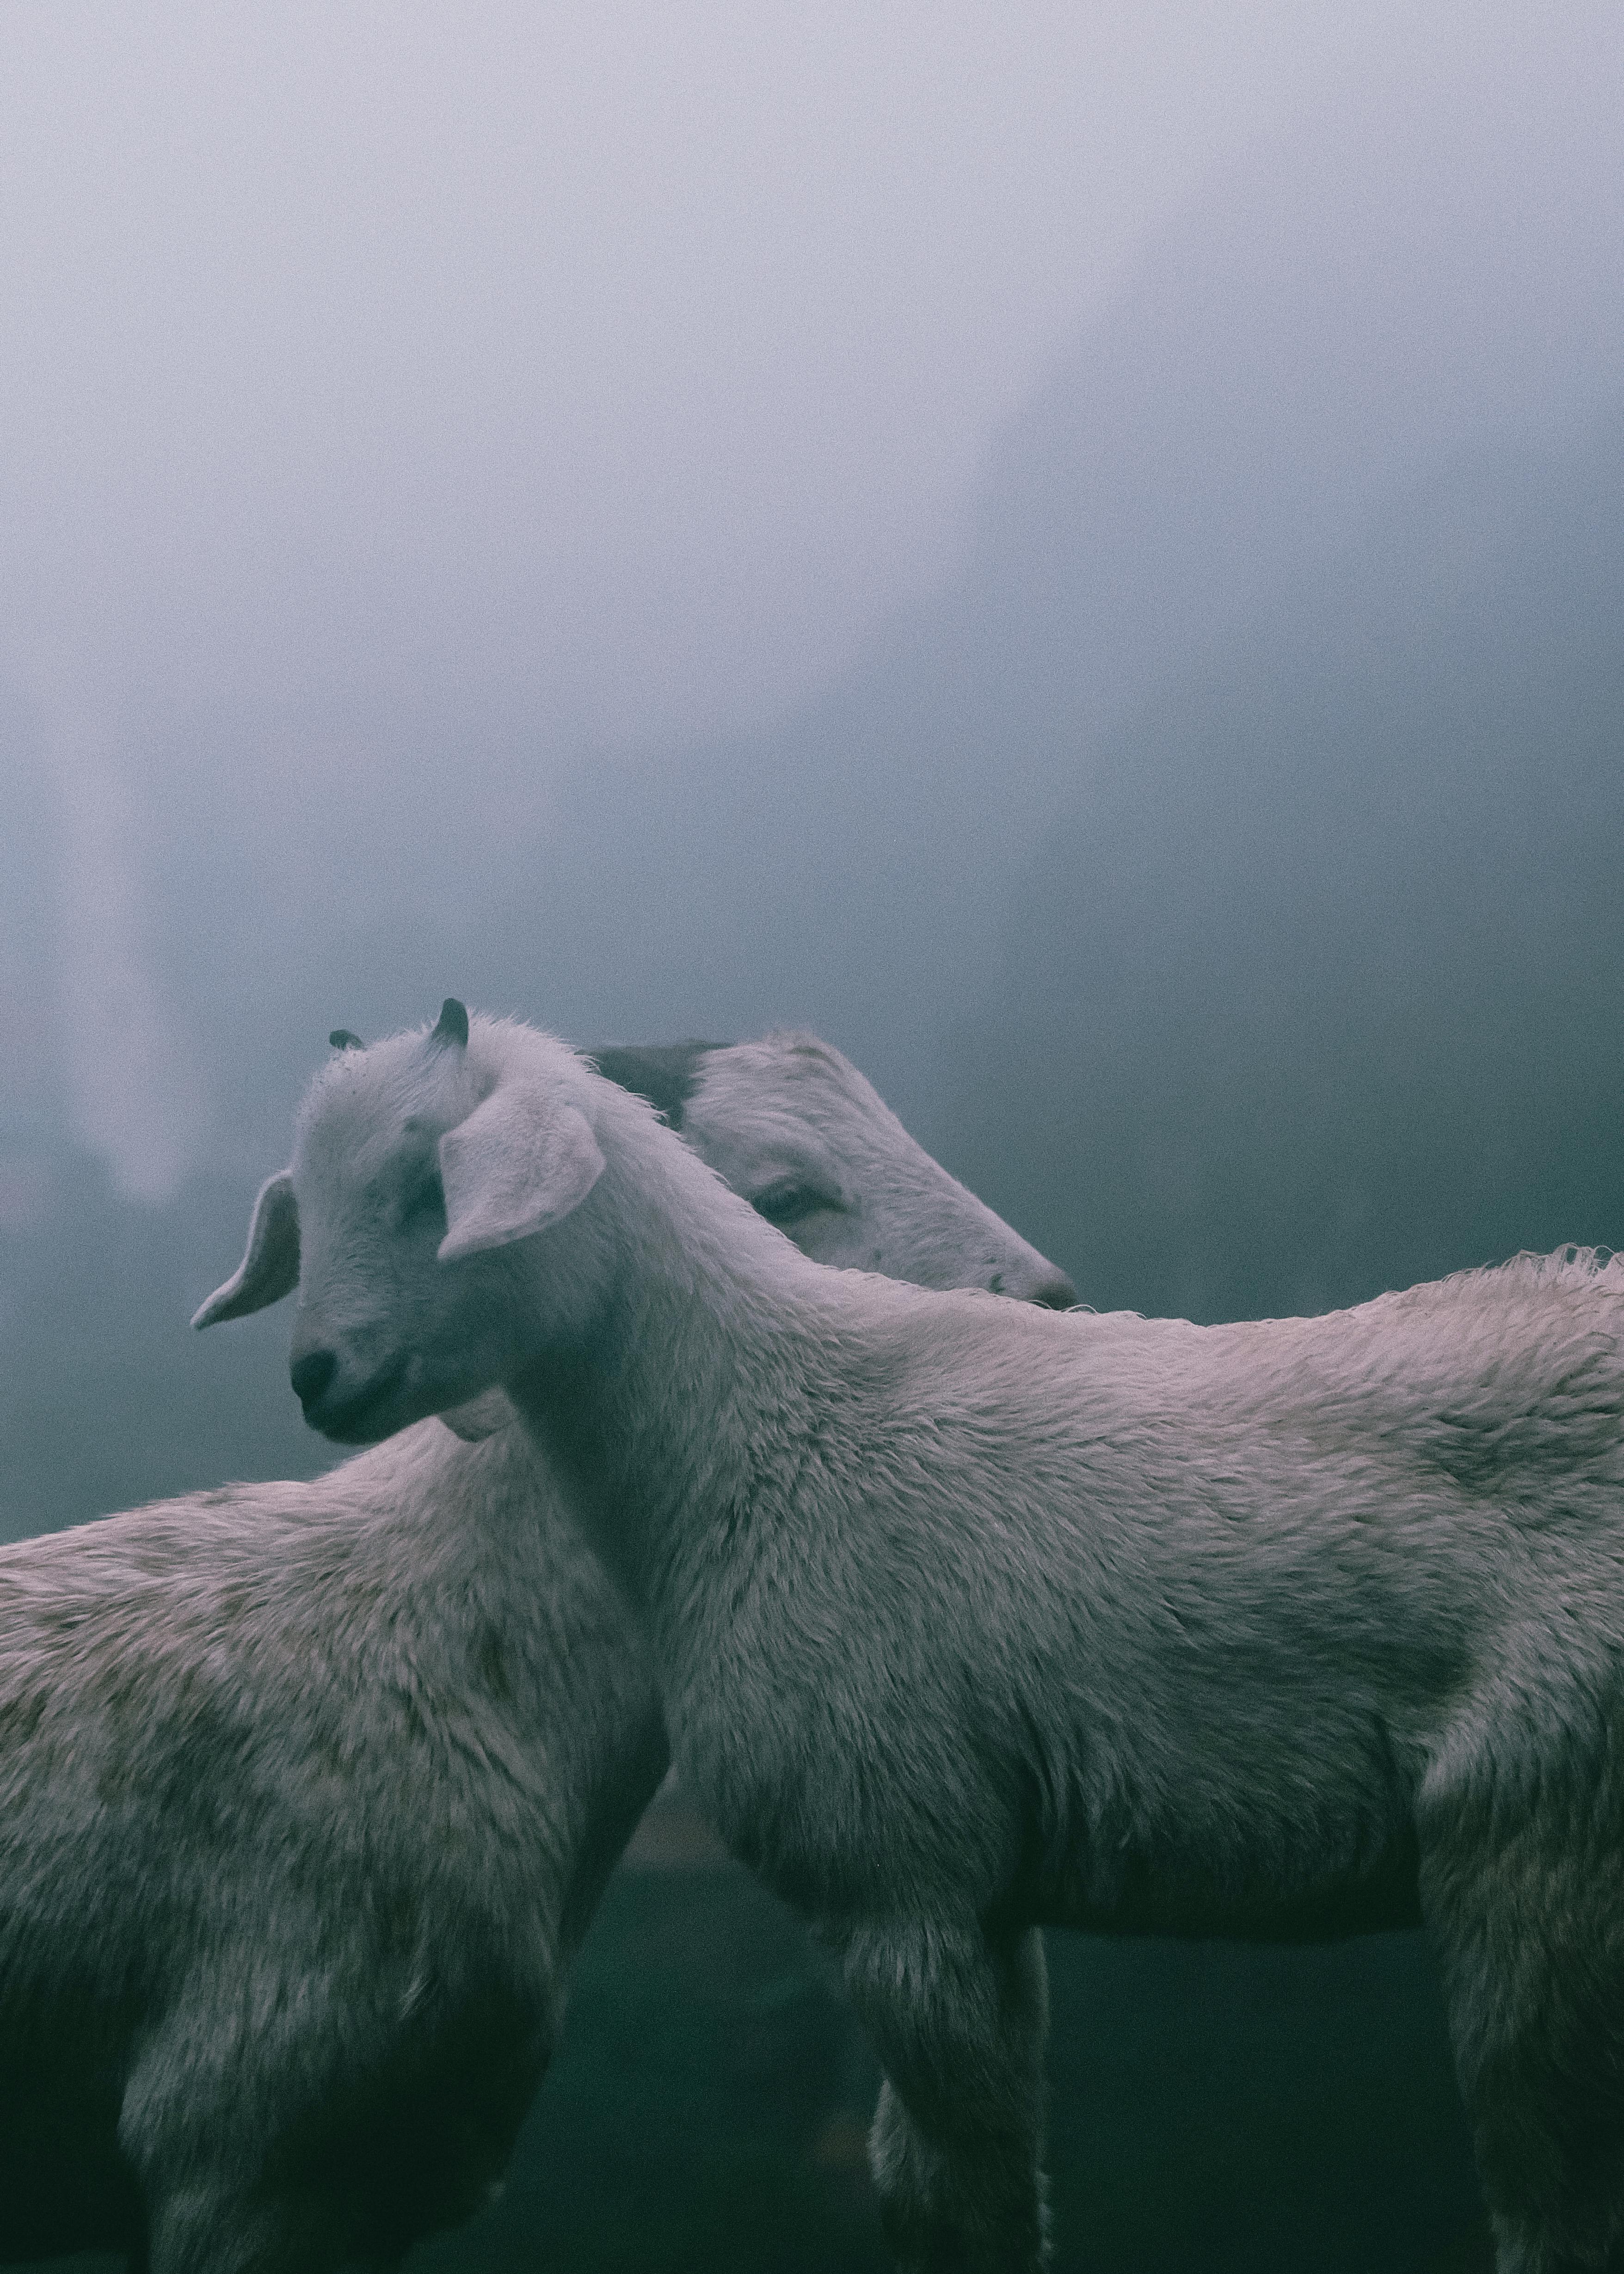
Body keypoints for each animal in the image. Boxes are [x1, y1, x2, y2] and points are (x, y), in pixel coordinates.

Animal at [236, 1001, 1624, 2274]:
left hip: (1541, 1833)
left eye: (429, 1186)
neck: (766, 1420)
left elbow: (963, 2201)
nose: (317, 1376)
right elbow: (925, 2191)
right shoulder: (987, 1895)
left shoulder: (896, 1878)